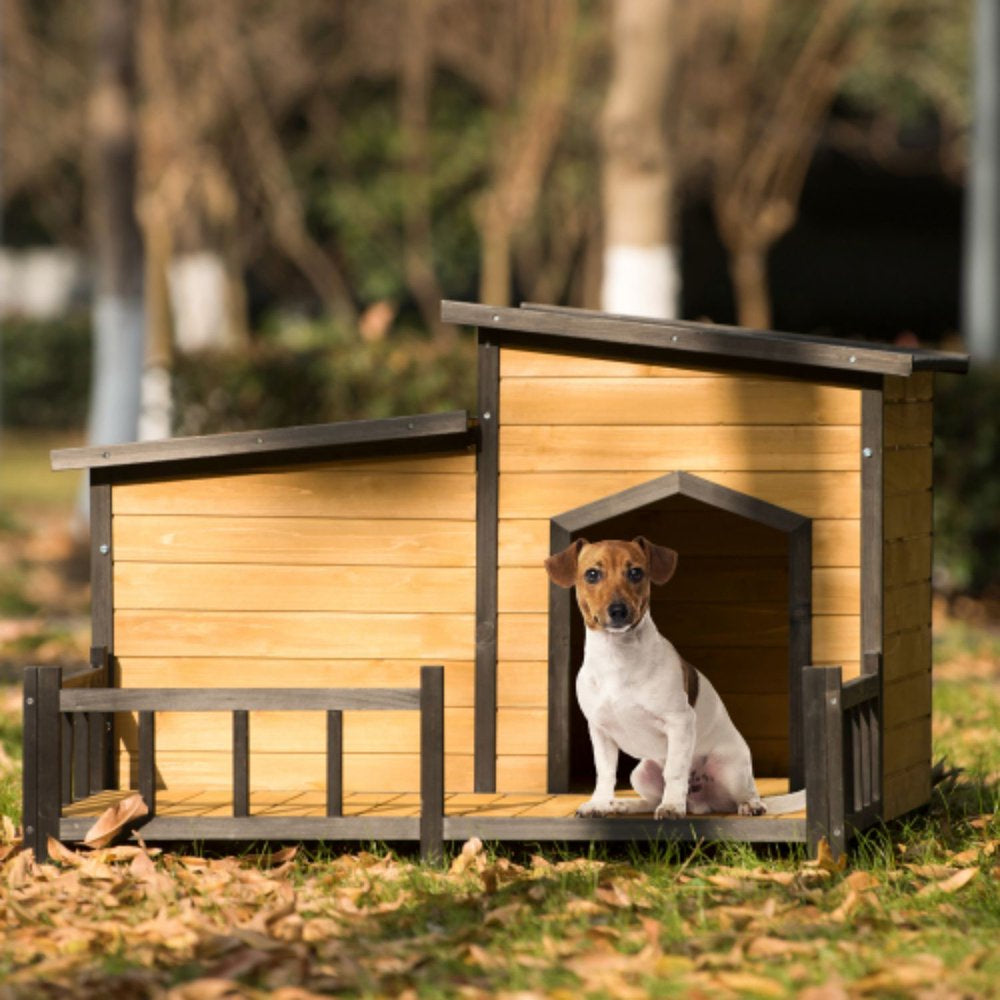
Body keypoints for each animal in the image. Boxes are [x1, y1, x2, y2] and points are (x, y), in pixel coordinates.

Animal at [544, 536, 808, 816]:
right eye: (592, 574)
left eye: (636, 572)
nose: (618, 610)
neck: (617, 657)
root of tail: (700, 803)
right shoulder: (600, 731)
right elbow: (605, 773)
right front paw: (600, 803)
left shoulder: (679, 722)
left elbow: (674, 771)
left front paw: (671, 805)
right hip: (642, 772)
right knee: (650, 800)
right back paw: (624, 804)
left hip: (730, 767)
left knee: (745, 795)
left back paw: (750, 805)